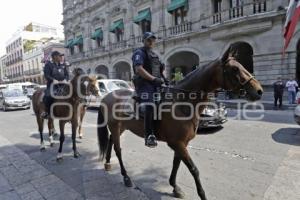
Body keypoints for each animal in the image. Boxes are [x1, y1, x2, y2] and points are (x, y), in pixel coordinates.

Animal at [97, 45, 264, 200]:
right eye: (235, 68)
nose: (259, 91)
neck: (182, 102)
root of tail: (106, 97)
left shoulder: (181, 143)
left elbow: (176, 164)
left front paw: (175, 187)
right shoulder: (177, 143)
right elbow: (193, 169)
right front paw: (201, 194)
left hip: (121, 127)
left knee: (111, 140)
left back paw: (107, 163)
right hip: (115, 126)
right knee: (118, 149)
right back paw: (126, 177)